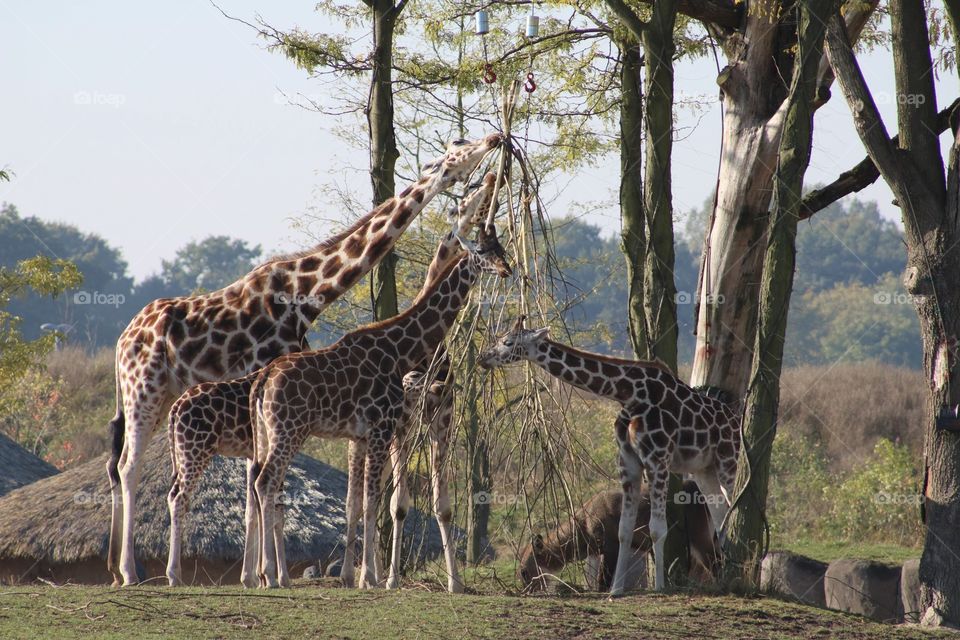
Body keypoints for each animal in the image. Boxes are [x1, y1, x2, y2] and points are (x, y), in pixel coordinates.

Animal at [251, 230, 512, 592]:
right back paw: (269, 576)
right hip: (288, 431)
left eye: (502, 248)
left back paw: (270, 575)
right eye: (483, 250)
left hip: (267, 432)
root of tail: (262, 381)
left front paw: (359, 576)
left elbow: (360, 502)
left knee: (262, 484)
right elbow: (373, 500)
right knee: (266, 483)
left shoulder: (365, 435)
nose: (507, 269)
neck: (399, 350)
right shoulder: (381, 428)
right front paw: (371, 578)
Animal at [520, 482, 716, 592]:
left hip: (699, 534)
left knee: (714, 559)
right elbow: (592, 577)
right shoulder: (595, 551)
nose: (526, 591)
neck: (584, 524)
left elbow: (604, 578)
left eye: (523, 572)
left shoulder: (611, 545)